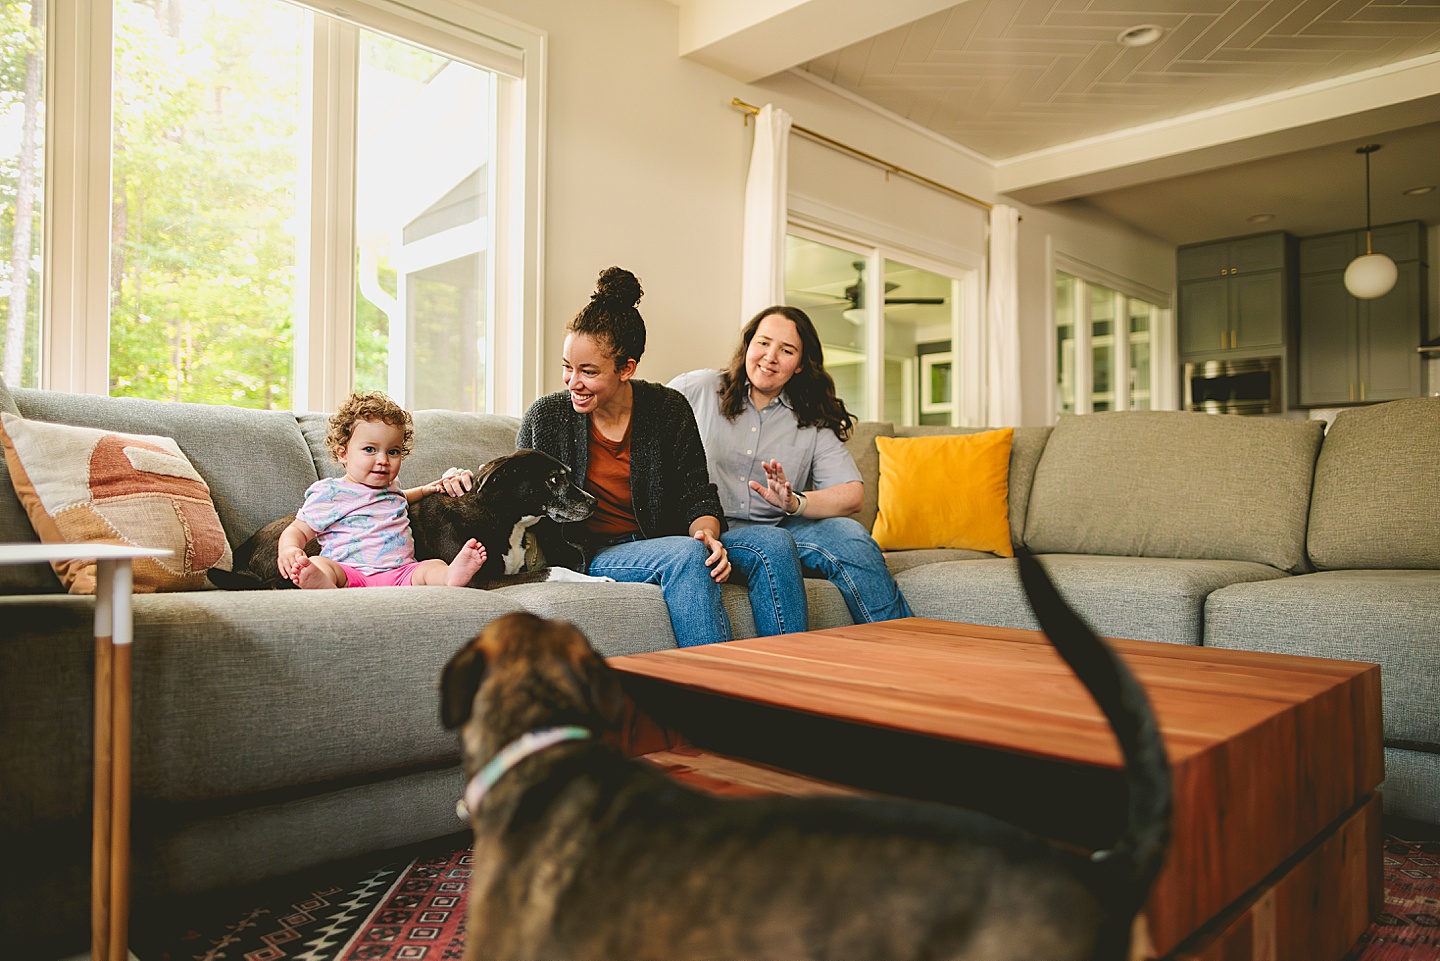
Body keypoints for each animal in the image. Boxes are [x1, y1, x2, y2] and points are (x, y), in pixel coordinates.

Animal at [210, 449, 599, 590]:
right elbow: (553, 571)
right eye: (554, 479)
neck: (499, 515)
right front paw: (600, 581)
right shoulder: (482, 581)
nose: (594, 502)